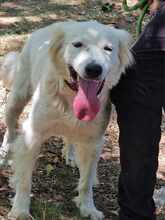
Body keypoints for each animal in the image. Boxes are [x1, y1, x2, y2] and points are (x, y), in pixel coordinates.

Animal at [0, 21, 132, 220]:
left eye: (108, 49)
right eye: (77, 44)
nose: (94, 69)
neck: (71, 95)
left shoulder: (93, 142)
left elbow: (85, 183)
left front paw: (87, 208)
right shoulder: (32, 135)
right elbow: (24, 181)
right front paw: (20, 210)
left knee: (70, 138)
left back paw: (70, 155)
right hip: (17, 99)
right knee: (9, 127)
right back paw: (5, 152)